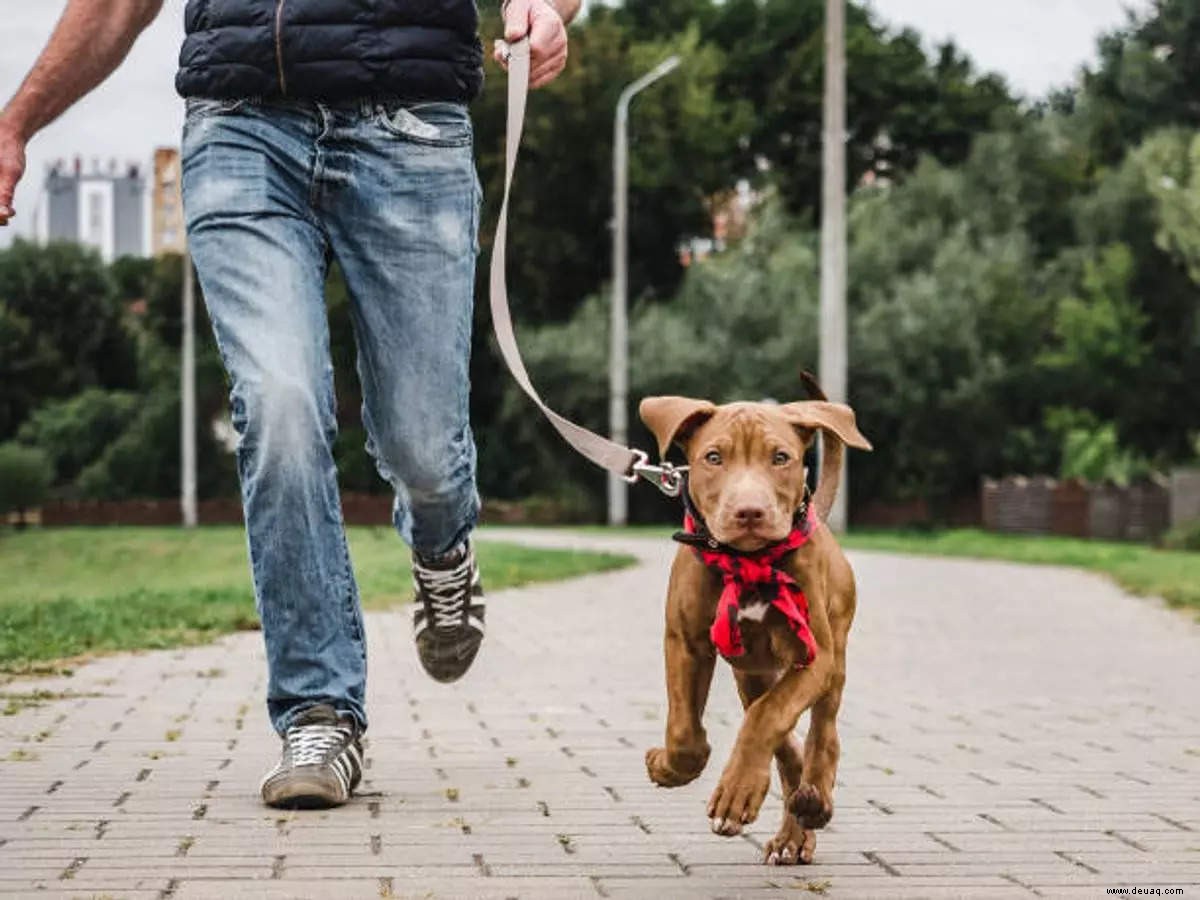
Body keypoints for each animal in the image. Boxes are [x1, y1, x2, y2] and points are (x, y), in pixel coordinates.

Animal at [638, 384, 873, 868]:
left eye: (781, 457)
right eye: (713, 457)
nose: (749, 512)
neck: (748, 562)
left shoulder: (814, 657)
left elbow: (768, 718)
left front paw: (736, 792)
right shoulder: (686, 642)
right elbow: (686, 731)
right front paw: (668, 767)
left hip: (834, 658)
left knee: (821, 734)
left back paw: (814, 799)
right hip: (751, 671)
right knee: (782, 739)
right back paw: (795, 826)